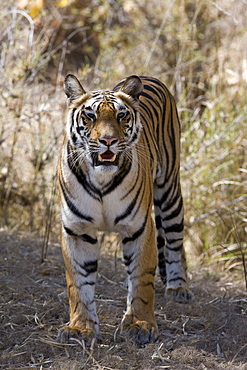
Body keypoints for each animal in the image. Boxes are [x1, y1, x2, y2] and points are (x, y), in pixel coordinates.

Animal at [57, 73, 192, 346]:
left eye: (121, 116)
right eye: (90, 115)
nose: (108, 141)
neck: (101, 179)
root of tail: (149, 77)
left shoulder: (139, 228)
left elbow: (142, 280)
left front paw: (140, 325)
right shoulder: (77, 230)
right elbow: (78, 283)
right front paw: (80, 328)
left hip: (170, 191)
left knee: (175, 241)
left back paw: (177, 287)